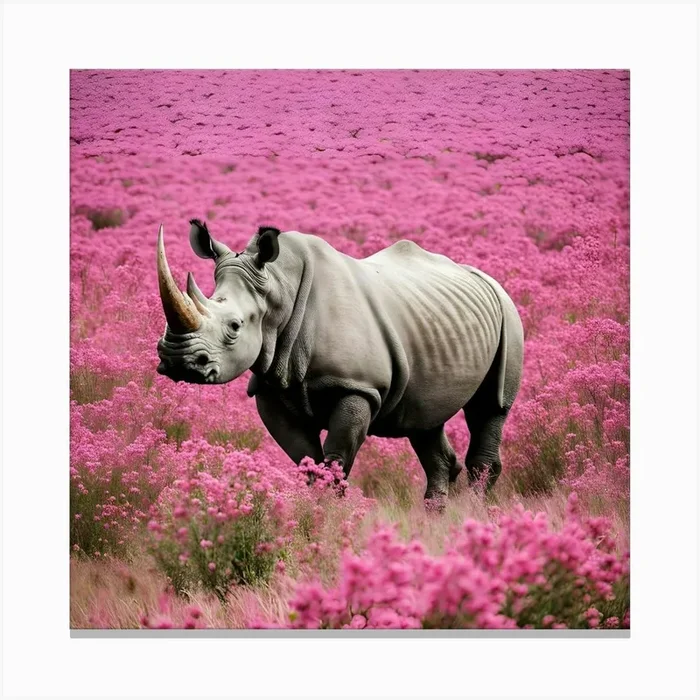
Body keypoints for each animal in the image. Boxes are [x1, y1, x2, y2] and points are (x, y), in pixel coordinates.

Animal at [156, 220, 524, 506]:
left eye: (234, 326)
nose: (176, 363)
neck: (278, 289)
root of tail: (484, 277)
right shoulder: (271, 387)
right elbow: (309, 464)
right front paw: (315, 521)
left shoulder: (357, 386)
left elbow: (335, 464)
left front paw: (331, 519)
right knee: (424, 418)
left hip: (508, 313)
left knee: (490, 408)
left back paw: (474, 514)